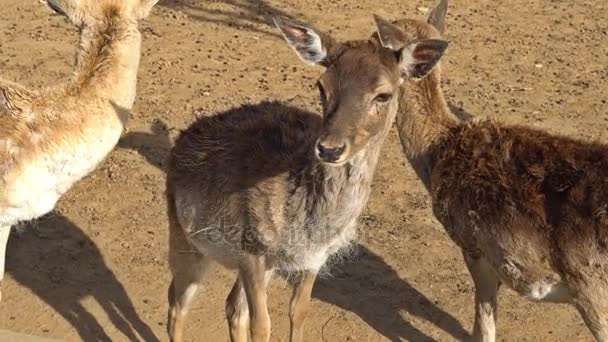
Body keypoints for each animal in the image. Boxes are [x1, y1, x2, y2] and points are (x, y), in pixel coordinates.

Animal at [164, 10, 448, 342]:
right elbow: (262, 325)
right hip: (185, 236)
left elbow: (297, 312)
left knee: (232, 306)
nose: (329, 148)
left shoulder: (312, 258)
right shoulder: (249, 249)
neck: (309, 226)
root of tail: (181, 139)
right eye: (322, 85)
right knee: (177, 302)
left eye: (383, 95)